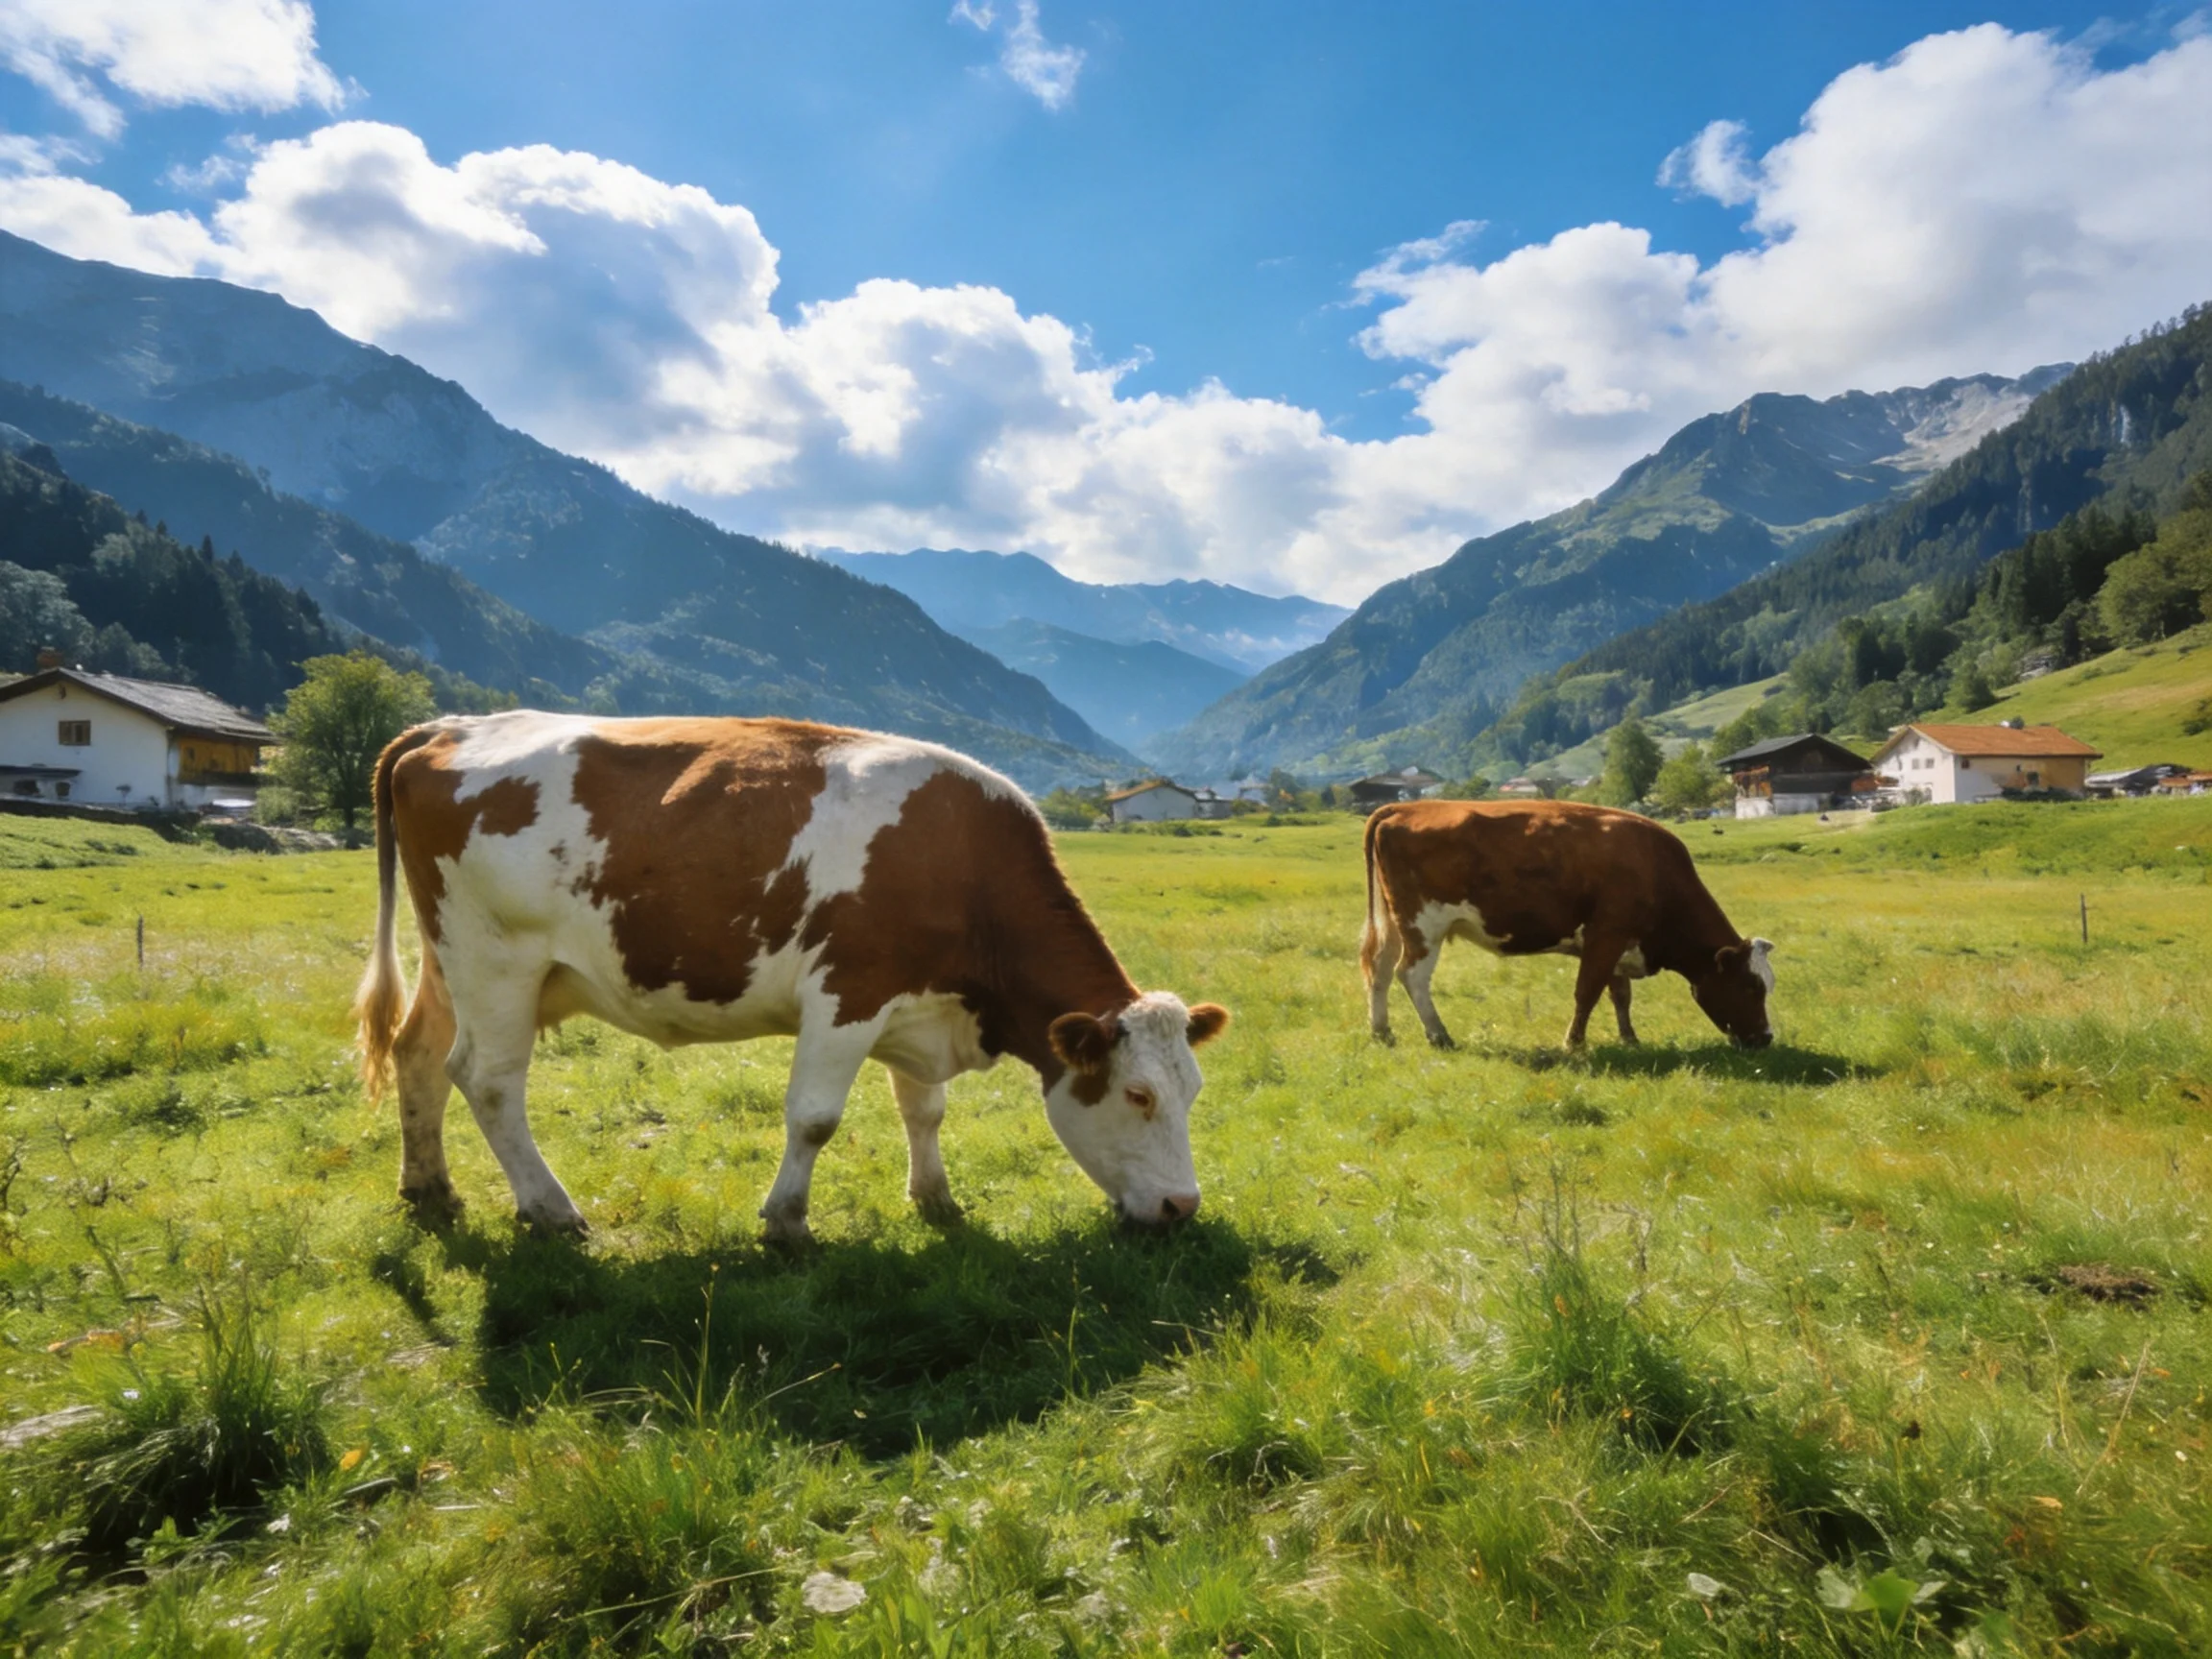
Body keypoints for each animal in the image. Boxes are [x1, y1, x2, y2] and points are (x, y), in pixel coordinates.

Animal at [354, 713, 1230, 1244]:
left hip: (450, 958)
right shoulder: (848, 993)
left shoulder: (918, 1005)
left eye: (1192, 1091)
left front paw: (935, 1198)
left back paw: (428, 1188)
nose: (1183, 1206)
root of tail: (451, 723)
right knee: (488, 1079)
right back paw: (550, 1209)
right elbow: (814, 1119)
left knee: (418, 1054)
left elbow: (925, 1110)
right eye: (1137, 1095)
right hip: (497, 960)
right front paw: (786, 1222)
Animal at [1360, 799, 1774, 1051]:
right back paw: (1439, 1034)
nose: (1766, 1038)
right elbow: (1587, 992)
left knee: (1379, 969)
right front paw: (1573, 1044)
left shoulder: (1617, 943)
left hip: (1394, 923)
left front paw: (1629, 1038)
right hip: (1424, 926)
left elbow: (1620, 995)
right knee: (1411, 975)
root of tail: (1404, 807)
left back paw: (1382, 1032)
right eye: (1751, 986)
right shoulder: (1606, 935)